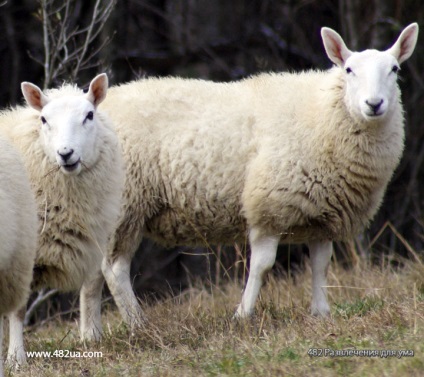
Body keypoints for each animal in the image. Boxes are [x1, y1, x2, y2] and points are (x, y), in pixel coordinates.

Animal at [1, 73, 124, 364]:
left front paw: (92, 337)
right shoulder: (21, 253)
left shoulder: (92, 236)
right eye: (44, 119)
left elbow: (91, 286)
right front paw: (16, 357)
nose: (66, 153)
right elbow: (18, 310)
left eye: (89, 115)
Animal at [98, 21, 418, 326]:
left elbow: (321, 265)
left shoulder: (323, 213)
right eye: (349, 70)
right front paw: (242, 315)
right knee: (113, 268)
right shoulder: (270, 206)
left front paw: (321, 313)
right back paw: (137, 322)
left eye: (395, 69)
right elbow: (262, 266)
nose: (374, 104)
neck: (322, 112)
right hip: (123, 203)